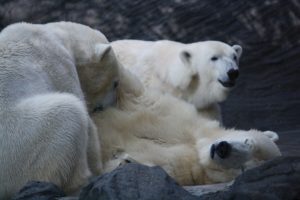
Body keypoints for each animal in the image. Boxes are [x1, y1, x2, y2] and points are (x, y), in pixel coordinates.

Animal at [92, 66, 282, 185]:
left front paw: (124, 160)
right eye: (248, 141)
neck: (197, 145)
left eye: (242, 168)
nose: (223, 149)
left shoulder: (182, 168)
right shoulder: (177, 116)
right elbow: (134, 92)